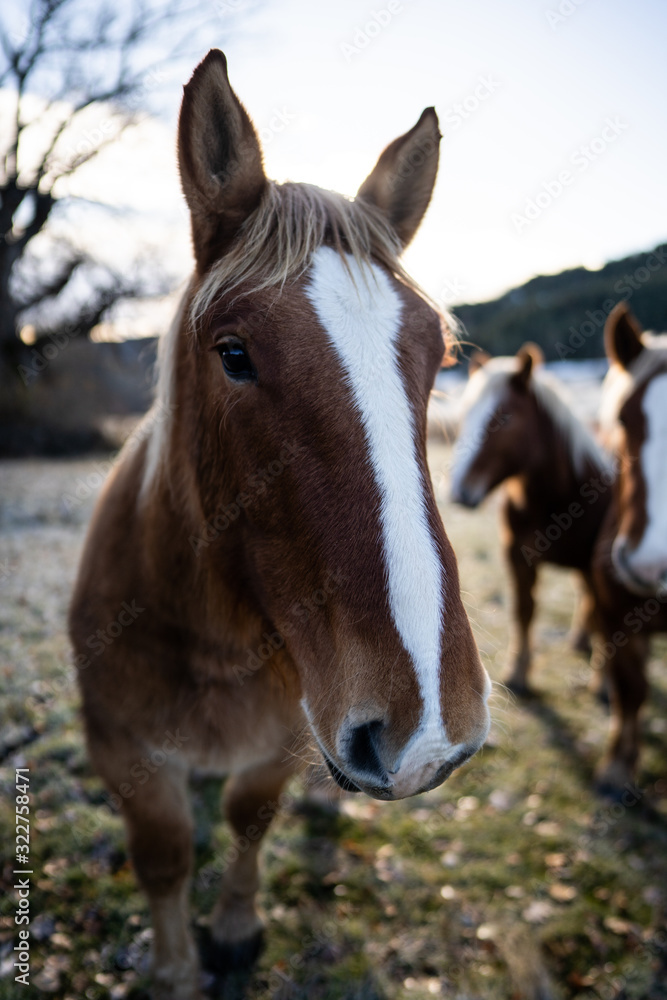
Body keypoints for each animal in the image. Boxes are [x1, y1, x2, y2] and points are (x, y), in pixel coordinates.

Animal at [68, 52, 494, 1000]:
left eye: (436, 359)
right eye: (233, 353)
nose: (429, 727)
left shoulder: (280, 742)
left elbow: (250, 815)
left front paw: (232, 927)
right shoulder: (120, 746)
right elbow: (163, 855)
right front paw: (177, 969)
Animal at [448, 344, 616, 696]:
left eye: (505, 416)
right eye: (465, 415)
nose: (458, 491)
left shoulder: (597, 564)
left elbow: (604, 617)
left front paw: (606, 682)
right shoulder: (518, 558)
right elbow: (524, 611)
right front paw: (518, 672)